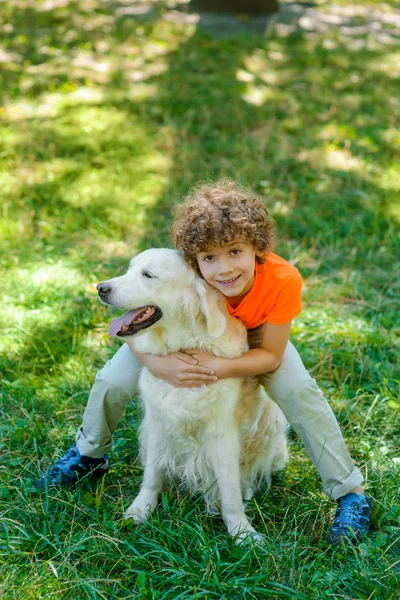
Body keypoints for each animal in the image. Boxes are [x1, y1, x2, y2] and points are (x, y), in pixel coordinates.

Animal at [98, 246, 290, 540]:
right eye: (130, 270)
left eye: (148, 275)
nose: (100, 288)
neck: (184, 346)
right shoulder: (157, 422)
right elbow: (152, 474)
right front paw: (140, 510)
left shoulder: (222, 433)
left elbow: (229, 488)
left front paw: (241, 532)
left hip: (272, 419)